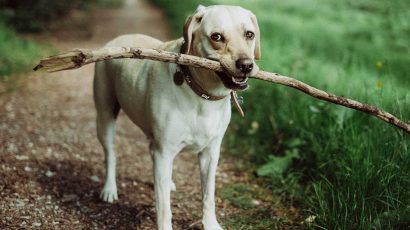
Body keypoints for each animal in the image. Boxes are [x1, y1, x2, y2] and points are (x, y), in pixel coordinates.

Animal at [93, 4, 260, 230]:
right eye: (216, 37)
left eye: (249, 34)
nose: (246, 65)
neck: (202, 95)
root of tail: (116, 39)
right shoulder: (165, 151)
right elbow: (164, 207)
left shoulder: (210, 153)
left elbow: (208, 195)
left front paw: (210, 223)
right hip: (105, 117)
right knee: (110, 154)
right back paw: (109, 189)